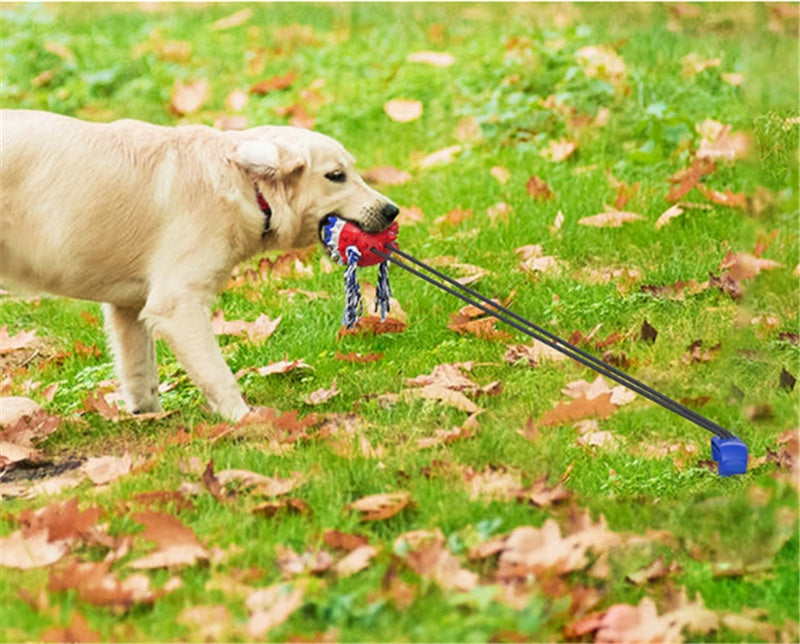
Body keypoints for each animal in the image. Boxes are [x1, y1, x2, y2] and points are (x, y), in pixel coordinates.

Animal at [0, 109, 400, 422]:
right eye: (336, 175)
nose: (392, 210)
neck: (246, 183)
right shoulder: (178, 303)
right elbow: (217, 375)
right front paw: (246, 421)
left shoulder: (128, 307)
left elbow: (140, 374)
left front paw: (148, 418)